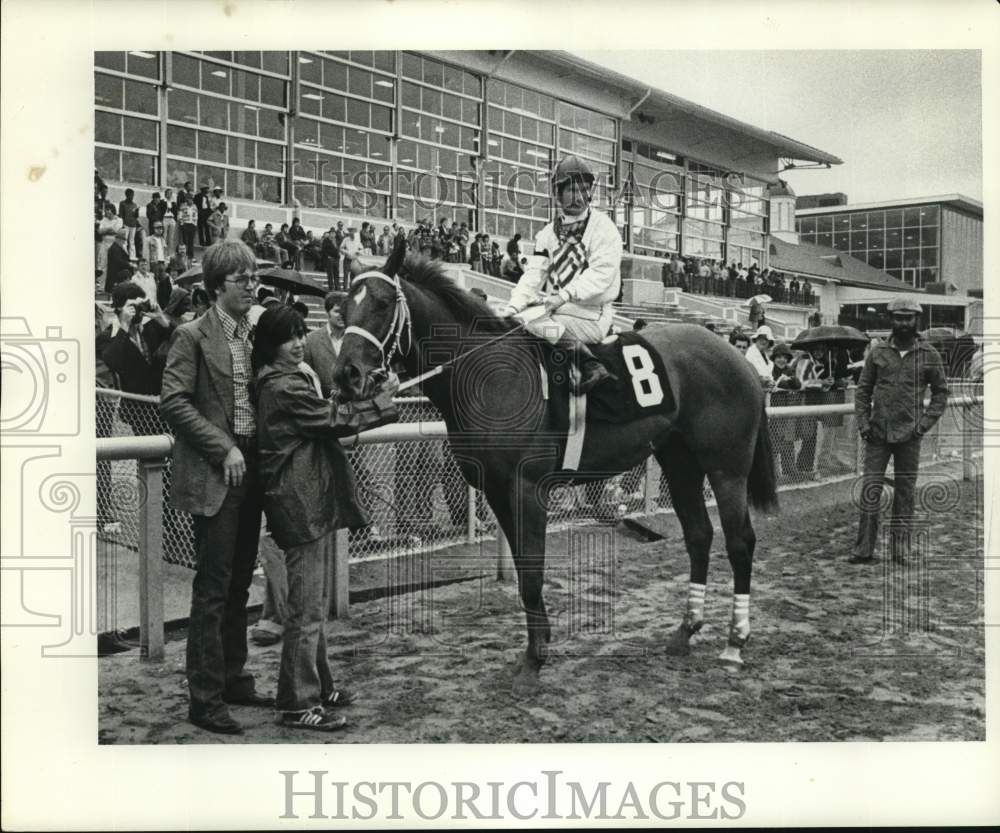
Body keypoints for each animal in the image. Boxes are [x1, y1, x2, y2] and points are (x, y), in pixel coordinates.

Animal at [336, 245, 780, 696]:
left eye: (382, 303)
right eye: (341, 307)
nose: (345, 374)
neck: (489, 374)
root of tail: (737, 357)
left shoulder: (527, 488)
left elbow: (533, 573)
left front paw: (534, 661)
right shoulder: (497, 491)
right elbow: (522, 571)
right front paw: (535, 648)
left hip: (726, 467)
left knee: (740, 542)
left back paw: (734, 643)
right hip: (680, 462)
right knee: (699, 535)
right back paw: (686, 631)